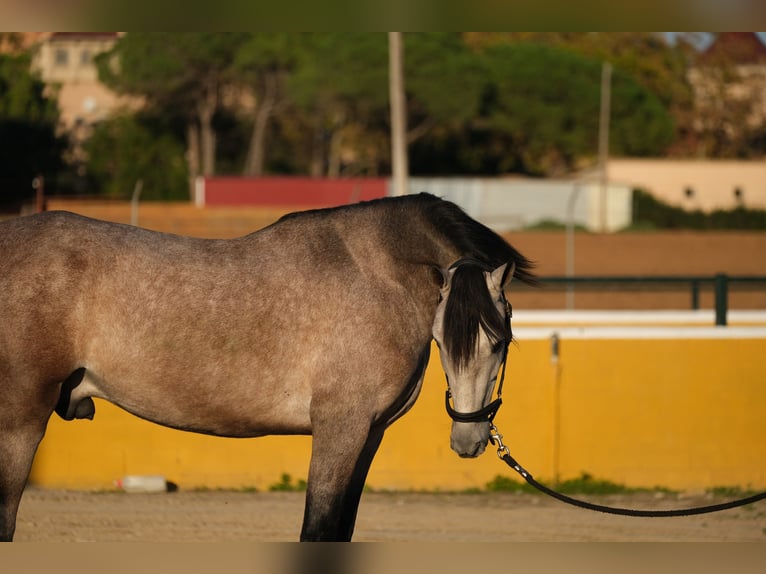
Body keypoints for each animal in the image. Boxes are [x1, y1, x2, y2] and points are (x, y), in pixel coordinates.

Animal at [0, 195, 536, 544]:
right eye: (446, 338)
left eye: (500, 342)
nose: (469, 439)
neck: (375, 275)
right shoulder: (340, 429)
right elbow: (317, 530)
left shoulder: (369, 435)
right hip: (20, 423)